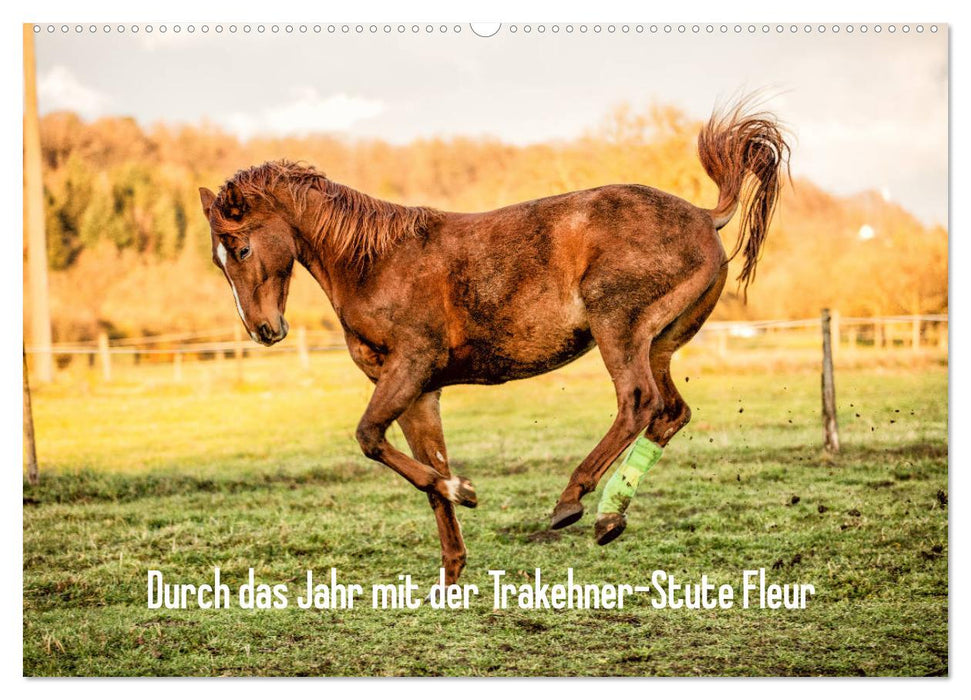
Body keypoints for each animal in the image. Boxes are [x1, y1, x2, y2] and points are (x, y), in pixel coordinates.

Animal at [199, 101, 788, 584]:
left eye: (241, 247)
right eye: (217, 258)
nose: (263, 330)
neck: (375, 263)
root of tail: (705, 216)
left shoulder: (411, 366)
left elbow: (370, 439)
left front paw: (466, 490)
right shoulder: (419, 393)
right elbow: (426, 471)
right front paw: (451, 570)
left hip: (618, 329)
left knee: (638, 403)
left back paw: (572, 502)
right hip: (661, 343)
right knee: (671, 412)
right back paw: (609, 515)